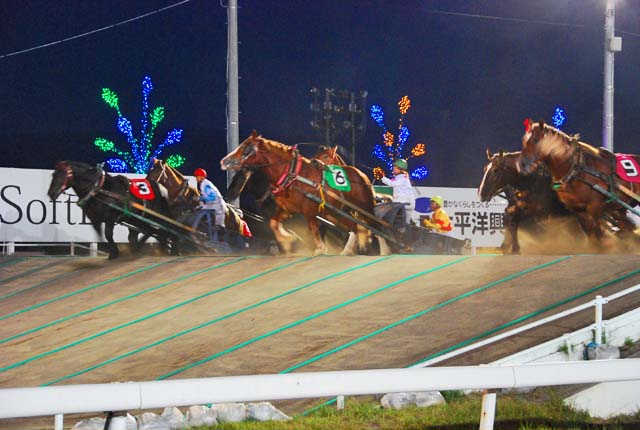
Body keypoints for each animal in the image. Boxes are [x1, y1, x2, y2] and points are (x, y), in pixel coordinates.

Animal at [47, 161, 175, 259]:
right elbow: (101, 237)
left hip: (155, 216)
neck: (99, 190)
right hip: (137, 219)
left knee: (162, 230)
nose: (51, 193)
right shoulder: (95, 220)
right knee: (149, 231)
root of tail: (159, 188)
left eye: (64, 175)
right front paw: (112, 251)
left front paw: (114, 253)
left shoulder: (111, 217)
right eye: (53, 175)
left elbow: (108, 234)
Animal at [221, 132, 388, 255]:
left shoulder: (309, 210)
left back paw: (384, 250)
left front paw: (320, 249)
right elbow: (274, 223)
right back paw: (348, 250)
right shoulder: (286, 209)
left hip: (365, 207)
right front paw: (287, 240)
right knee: (354, 227)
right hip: (338, 212)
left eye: (247, 148)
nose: (224, 161)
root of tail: (361, 174)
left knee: (376, 227)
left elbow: (313, 229)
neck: (292, 175)